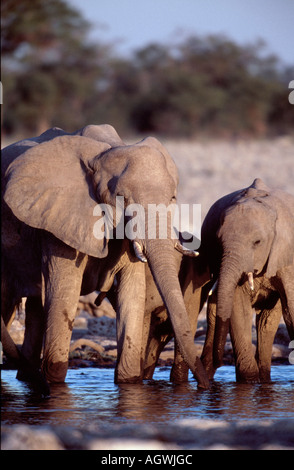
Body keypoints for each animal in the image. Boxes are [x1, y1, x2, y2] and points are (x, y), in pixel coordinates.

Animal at [1, 123, 209, 388]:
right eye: (123, 198)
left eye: (173, 198)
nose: (204, 386)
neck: (105, 151)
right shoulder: (57, 221)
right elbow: (64, 296)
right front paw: (55, 384)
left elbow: (132, 293)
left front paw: (129, 382)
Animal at [200, 178, 294, 384]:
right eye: (219, 241)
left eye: (257, 242)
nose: (220, 361)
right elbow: (238, 307)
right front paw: (248, 381)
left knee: (267, 322)